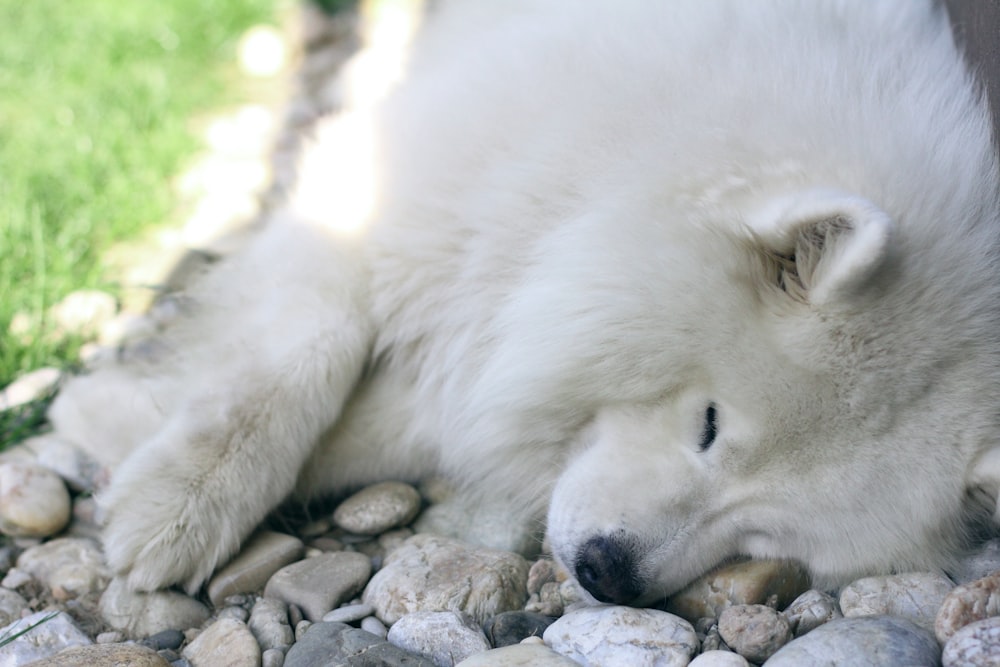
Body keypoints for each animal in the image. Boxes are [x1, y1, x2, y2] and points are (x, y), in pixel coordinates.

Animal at [48, 0, 1000, 604]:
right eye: (710, 424)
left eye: (766, 534)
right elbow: (303, 353)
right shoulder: (390, 203)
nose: (610, 573)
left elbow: (375, 435)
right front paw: (178, 496)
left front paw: (115, 420)